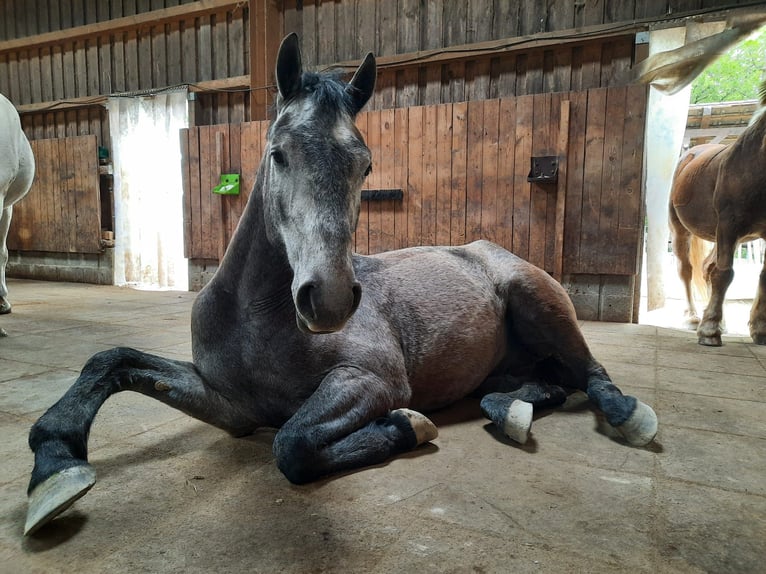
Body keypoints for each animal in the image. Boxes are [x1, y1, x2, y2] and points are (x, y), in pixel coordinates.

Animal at [668, 81, 766, 346]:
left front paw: (759, 329)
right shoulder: (729, 225)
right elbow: (724, 274)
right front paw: (710, 330)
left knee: (707, 268)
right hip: (684, 230)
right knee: (687, 270)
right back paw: (694, 318)